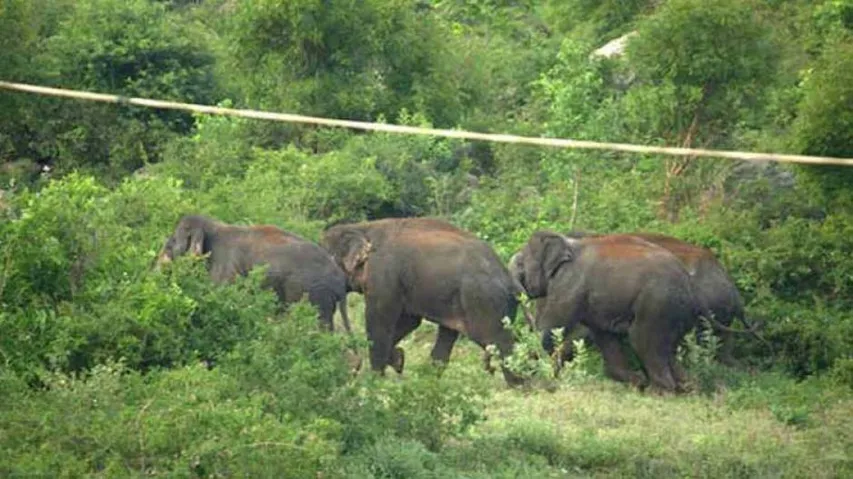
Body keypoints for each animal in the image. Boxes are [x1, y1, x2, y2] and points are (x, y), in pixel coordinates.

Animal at [320, 217, 526, 387]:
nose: (354, 367)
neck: (362, 227)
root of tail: (511, 280)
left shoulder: (383, 274)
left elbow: (379, 320)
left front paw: (376, 380)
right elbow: (409, 320)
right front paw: (398, 360)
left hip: (482, 300)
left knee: (496, 341)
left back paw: (521, 386)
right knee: (449, 336)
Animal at [512, 230, 706, 392]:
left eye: (521, 263)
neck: (567, 242)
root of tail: (689, 285)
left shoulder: (569, 285)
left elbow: (552, 327)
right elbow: (605, 337)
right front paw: (638, 381)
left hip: (656, 304)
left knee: (643, 341)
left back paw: (661, 392)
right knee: (668, 348)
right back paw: (688, 388)